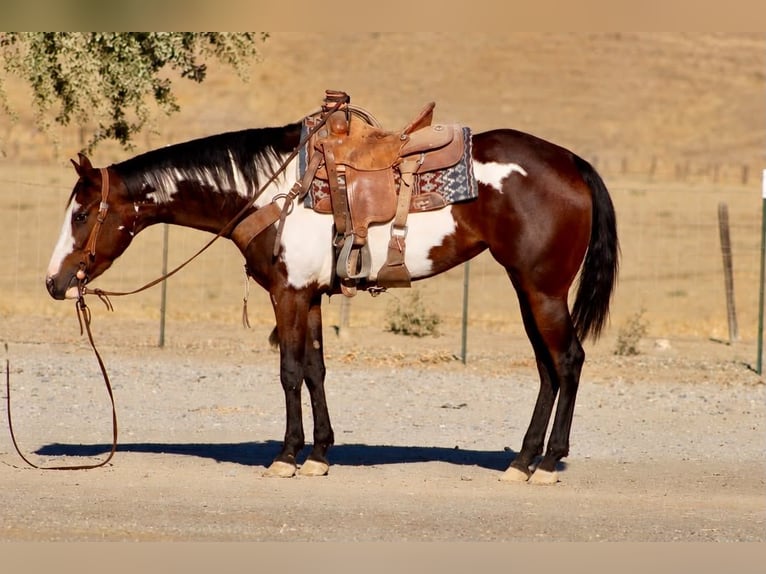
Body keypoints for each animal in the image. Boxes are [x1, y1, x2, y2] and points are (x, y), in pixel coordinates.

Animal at [44, 107, 618, 485]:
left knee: (568, 361)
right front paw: (320, 454)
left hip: (543, 289)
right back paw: (522, 461)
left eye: (81, 213)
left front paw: (286, 456)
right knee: (547, 367)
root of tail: (571, 162)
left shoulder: (289, 293)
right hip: (527, 288)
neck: (267, 189)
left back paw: (547, 463)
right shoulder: (313, 295)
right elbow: (316, 370)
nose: (53, 282)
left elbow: (289, 371)